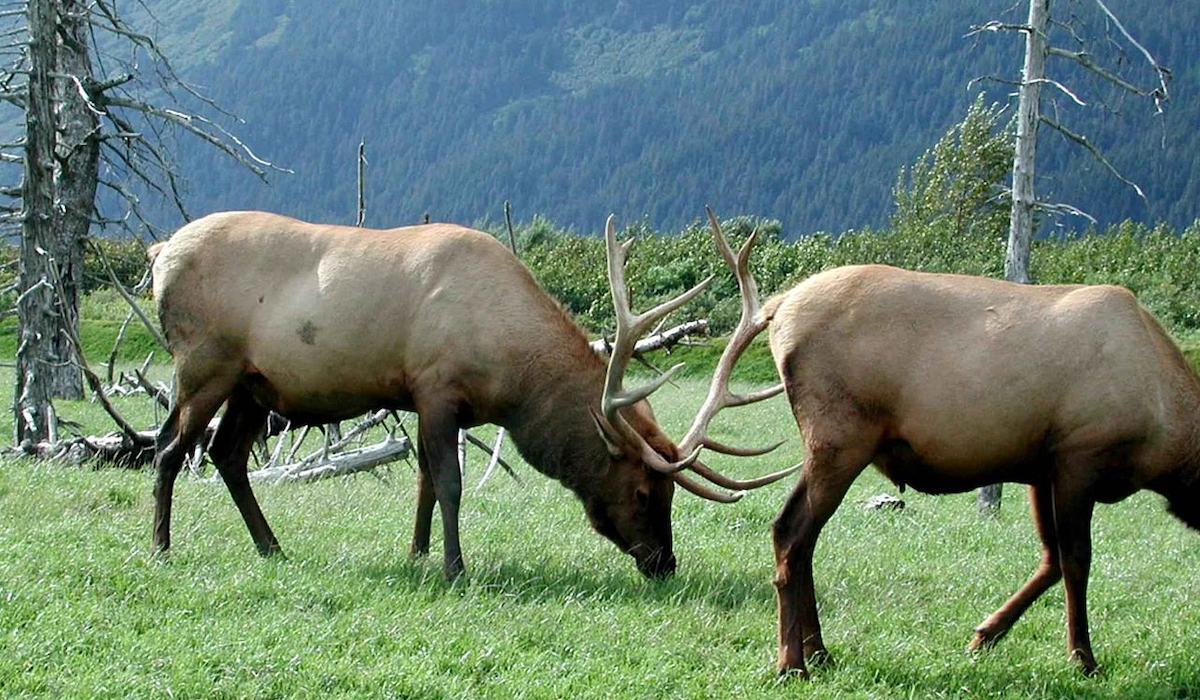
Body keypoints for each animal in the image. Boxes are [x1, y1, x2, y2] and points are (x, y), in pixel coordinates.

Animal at [147, 210, 796, 581]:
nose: (664, 563)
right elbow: (449, 483)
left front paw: (417, 555)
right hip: (203, 361)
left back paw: (271, 548)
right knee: (169, 448)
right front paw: (455, 568)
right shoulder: (436, 385)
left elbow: (424, 483)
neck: (510, 373)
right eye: (643, 491)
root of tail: (158, 255)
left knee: (226, 454)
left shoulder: (430, 399)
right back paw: (161, 548)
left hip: (252, 382)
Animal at [753, 260, 1200, 677]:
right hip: (841, 438)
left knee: (804, 539)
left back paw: (818, 651)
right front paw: (1082, 657)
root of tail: (779, 307)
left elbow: (1051, 559)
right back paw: (792, 662)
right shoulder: (1080, 457)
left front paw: (985, 635)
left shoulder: (1042, 470)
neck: (1169, 437)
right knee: (790, 530)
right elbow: (1076, 560)